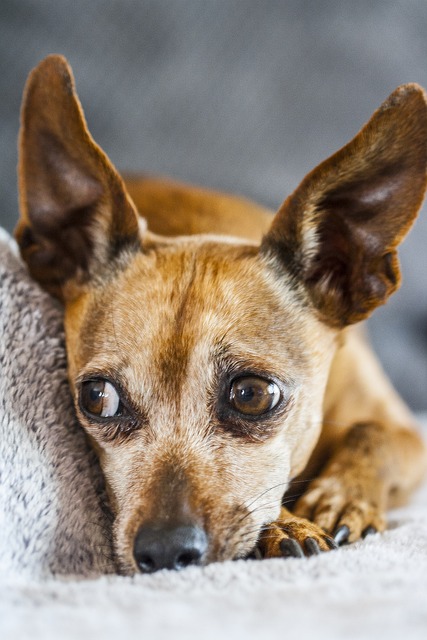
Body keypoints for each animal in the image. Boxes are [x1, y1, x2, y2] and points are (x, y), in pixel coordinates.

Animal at [14, 56, 427, 576]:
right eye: (97, 398)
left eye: (252, 395)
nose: (165, 550)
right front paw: (287, 524)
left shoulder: (405, 431)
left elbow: (373, 435)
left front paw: (338, 499)